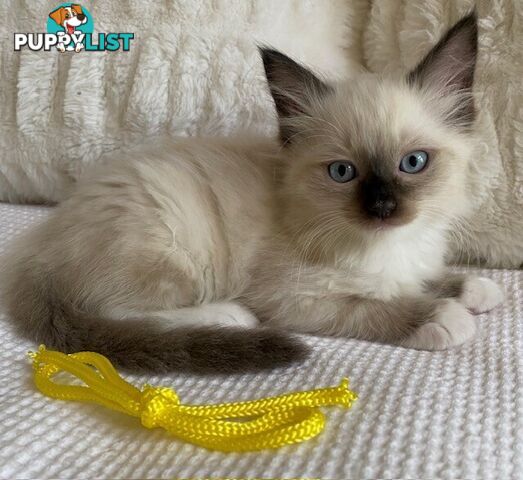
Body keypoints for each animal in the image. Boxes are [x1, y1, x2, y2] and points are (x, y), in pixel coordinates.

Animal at [3, 13, 504, 374]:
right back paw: (231, 316)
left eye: (413, 163)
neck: (389, 245)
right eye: (342, 172)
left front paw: (474, 289)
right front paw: (441, 317)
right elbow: (370, 306)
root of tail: (40, 248)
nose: (382, 207)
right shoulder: (296, 299)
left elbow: (426, 278)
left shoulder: (411, 263)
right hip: (173, 253)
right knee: (116, 312)